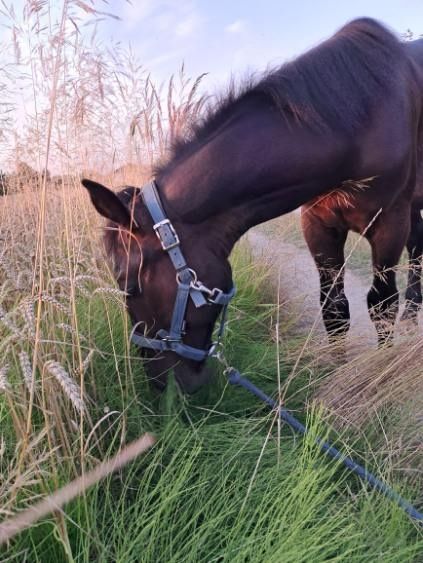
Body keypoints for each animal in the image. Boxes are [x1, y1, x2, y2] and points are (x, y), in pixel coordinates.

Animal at [83, 17, 423, 392]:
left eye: (130, 286)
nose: (161, 384)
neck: (357, 118)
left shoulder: (390, 223)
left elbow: (381, 305)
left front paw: (378, 374)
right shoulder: (318, 224)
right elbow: (334, 308)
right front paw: (337, 372)